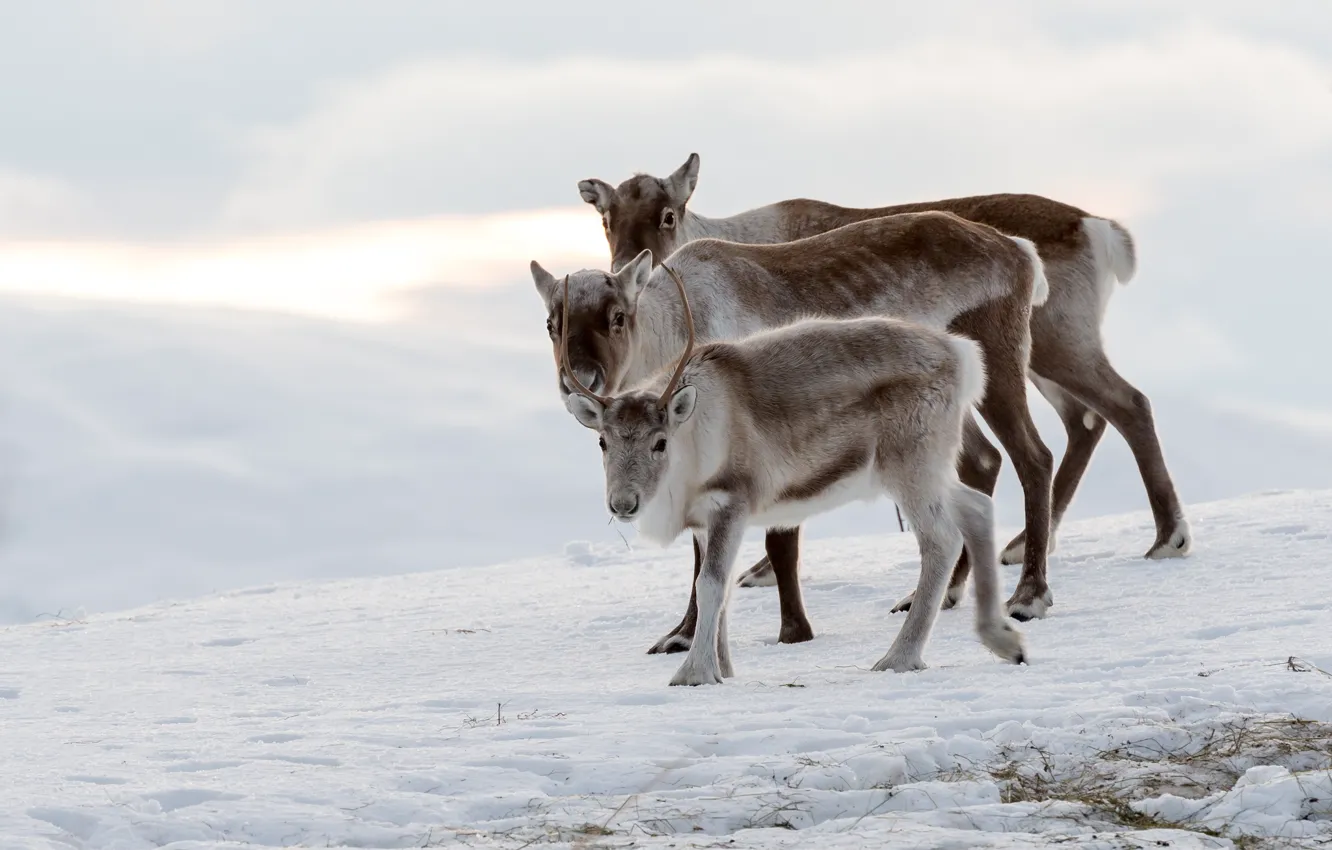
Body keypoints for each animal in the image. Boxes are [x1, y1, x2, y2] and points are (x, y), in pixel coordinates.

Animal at [532, 209, 1052, 655]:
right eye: (551, 323)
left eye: (617, 317)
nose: (579, 379)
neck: (676, 327)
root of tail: (1020, 249)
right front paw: (680, 634)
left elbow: (773, 541)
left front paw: (791, 631)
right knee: (983, 462)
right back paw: (949, 592)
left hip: (999, 364)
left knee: (1033, 457)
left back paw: (1029, 596)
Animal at [577, 153, 1191, 603]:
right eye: (607, 219)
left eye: (669, 214)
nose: (630, 270)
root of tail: (1099, 228)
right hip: (1035, 360)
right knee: (1080, 423)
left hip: (1049, 345)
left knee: (1112, 411)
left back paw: (1133, 550)